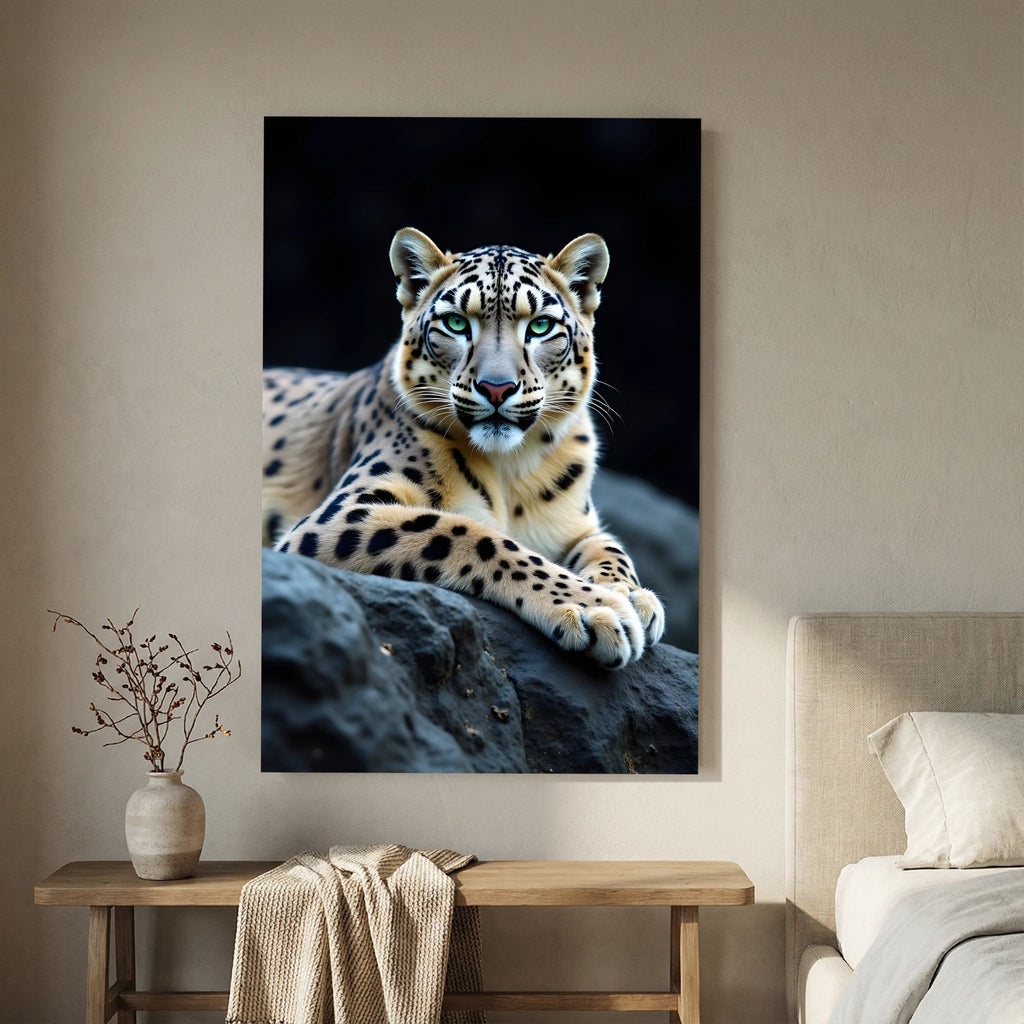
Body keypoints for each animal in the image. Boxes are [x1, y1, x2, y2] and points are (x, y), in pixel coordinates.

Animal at [262, 228, 665, 668]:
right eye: (456, 322)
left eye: (541, 326)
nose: (497, 387)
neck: (510, 470)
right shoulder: (342, 512)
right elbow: (467, 532)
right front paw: (597, 607)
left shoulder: (577, 525)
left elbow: (611, 548)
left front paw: (632, 595)